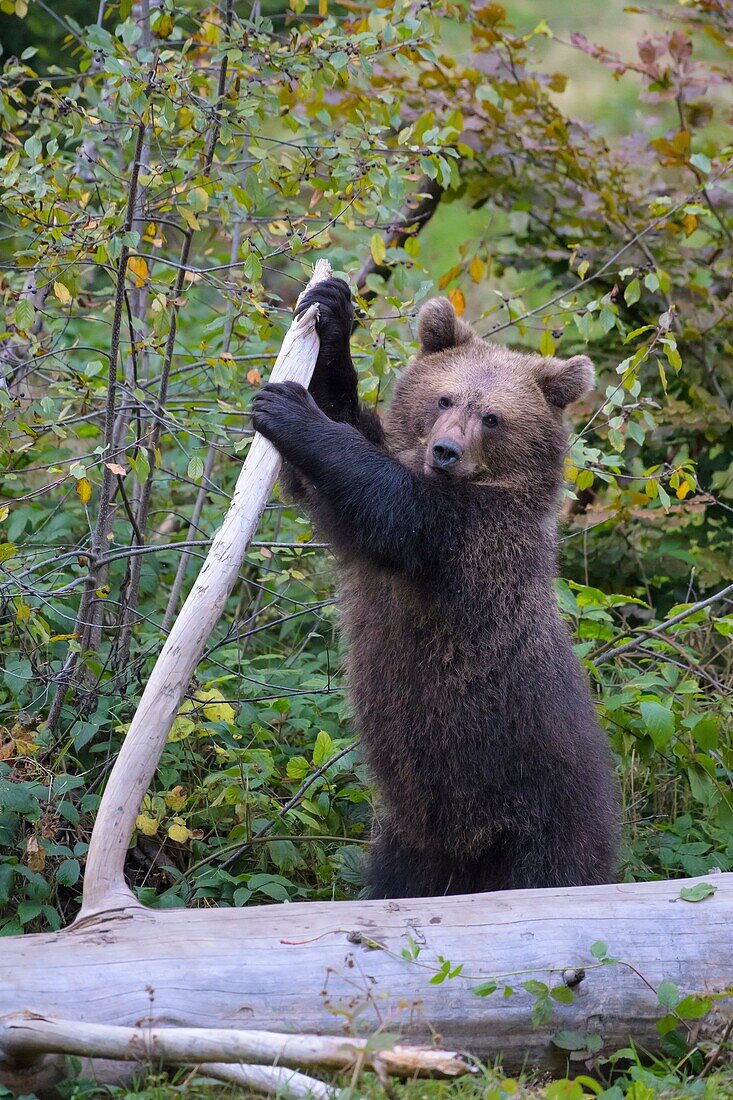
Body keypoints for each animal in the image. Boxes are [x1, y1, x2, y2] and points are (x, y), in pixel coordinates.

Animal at [249, 272, 616, 893]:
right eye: (444, 398)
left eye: (493, 418)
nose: (446, 450)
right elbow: (345, 452)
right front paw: (332, 315)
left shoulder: (466, 539)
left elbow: (383, 496)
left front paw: (290, 408)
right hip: (411, 832)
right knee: (400, 876)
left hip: (538, 808)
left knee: (549, 871)